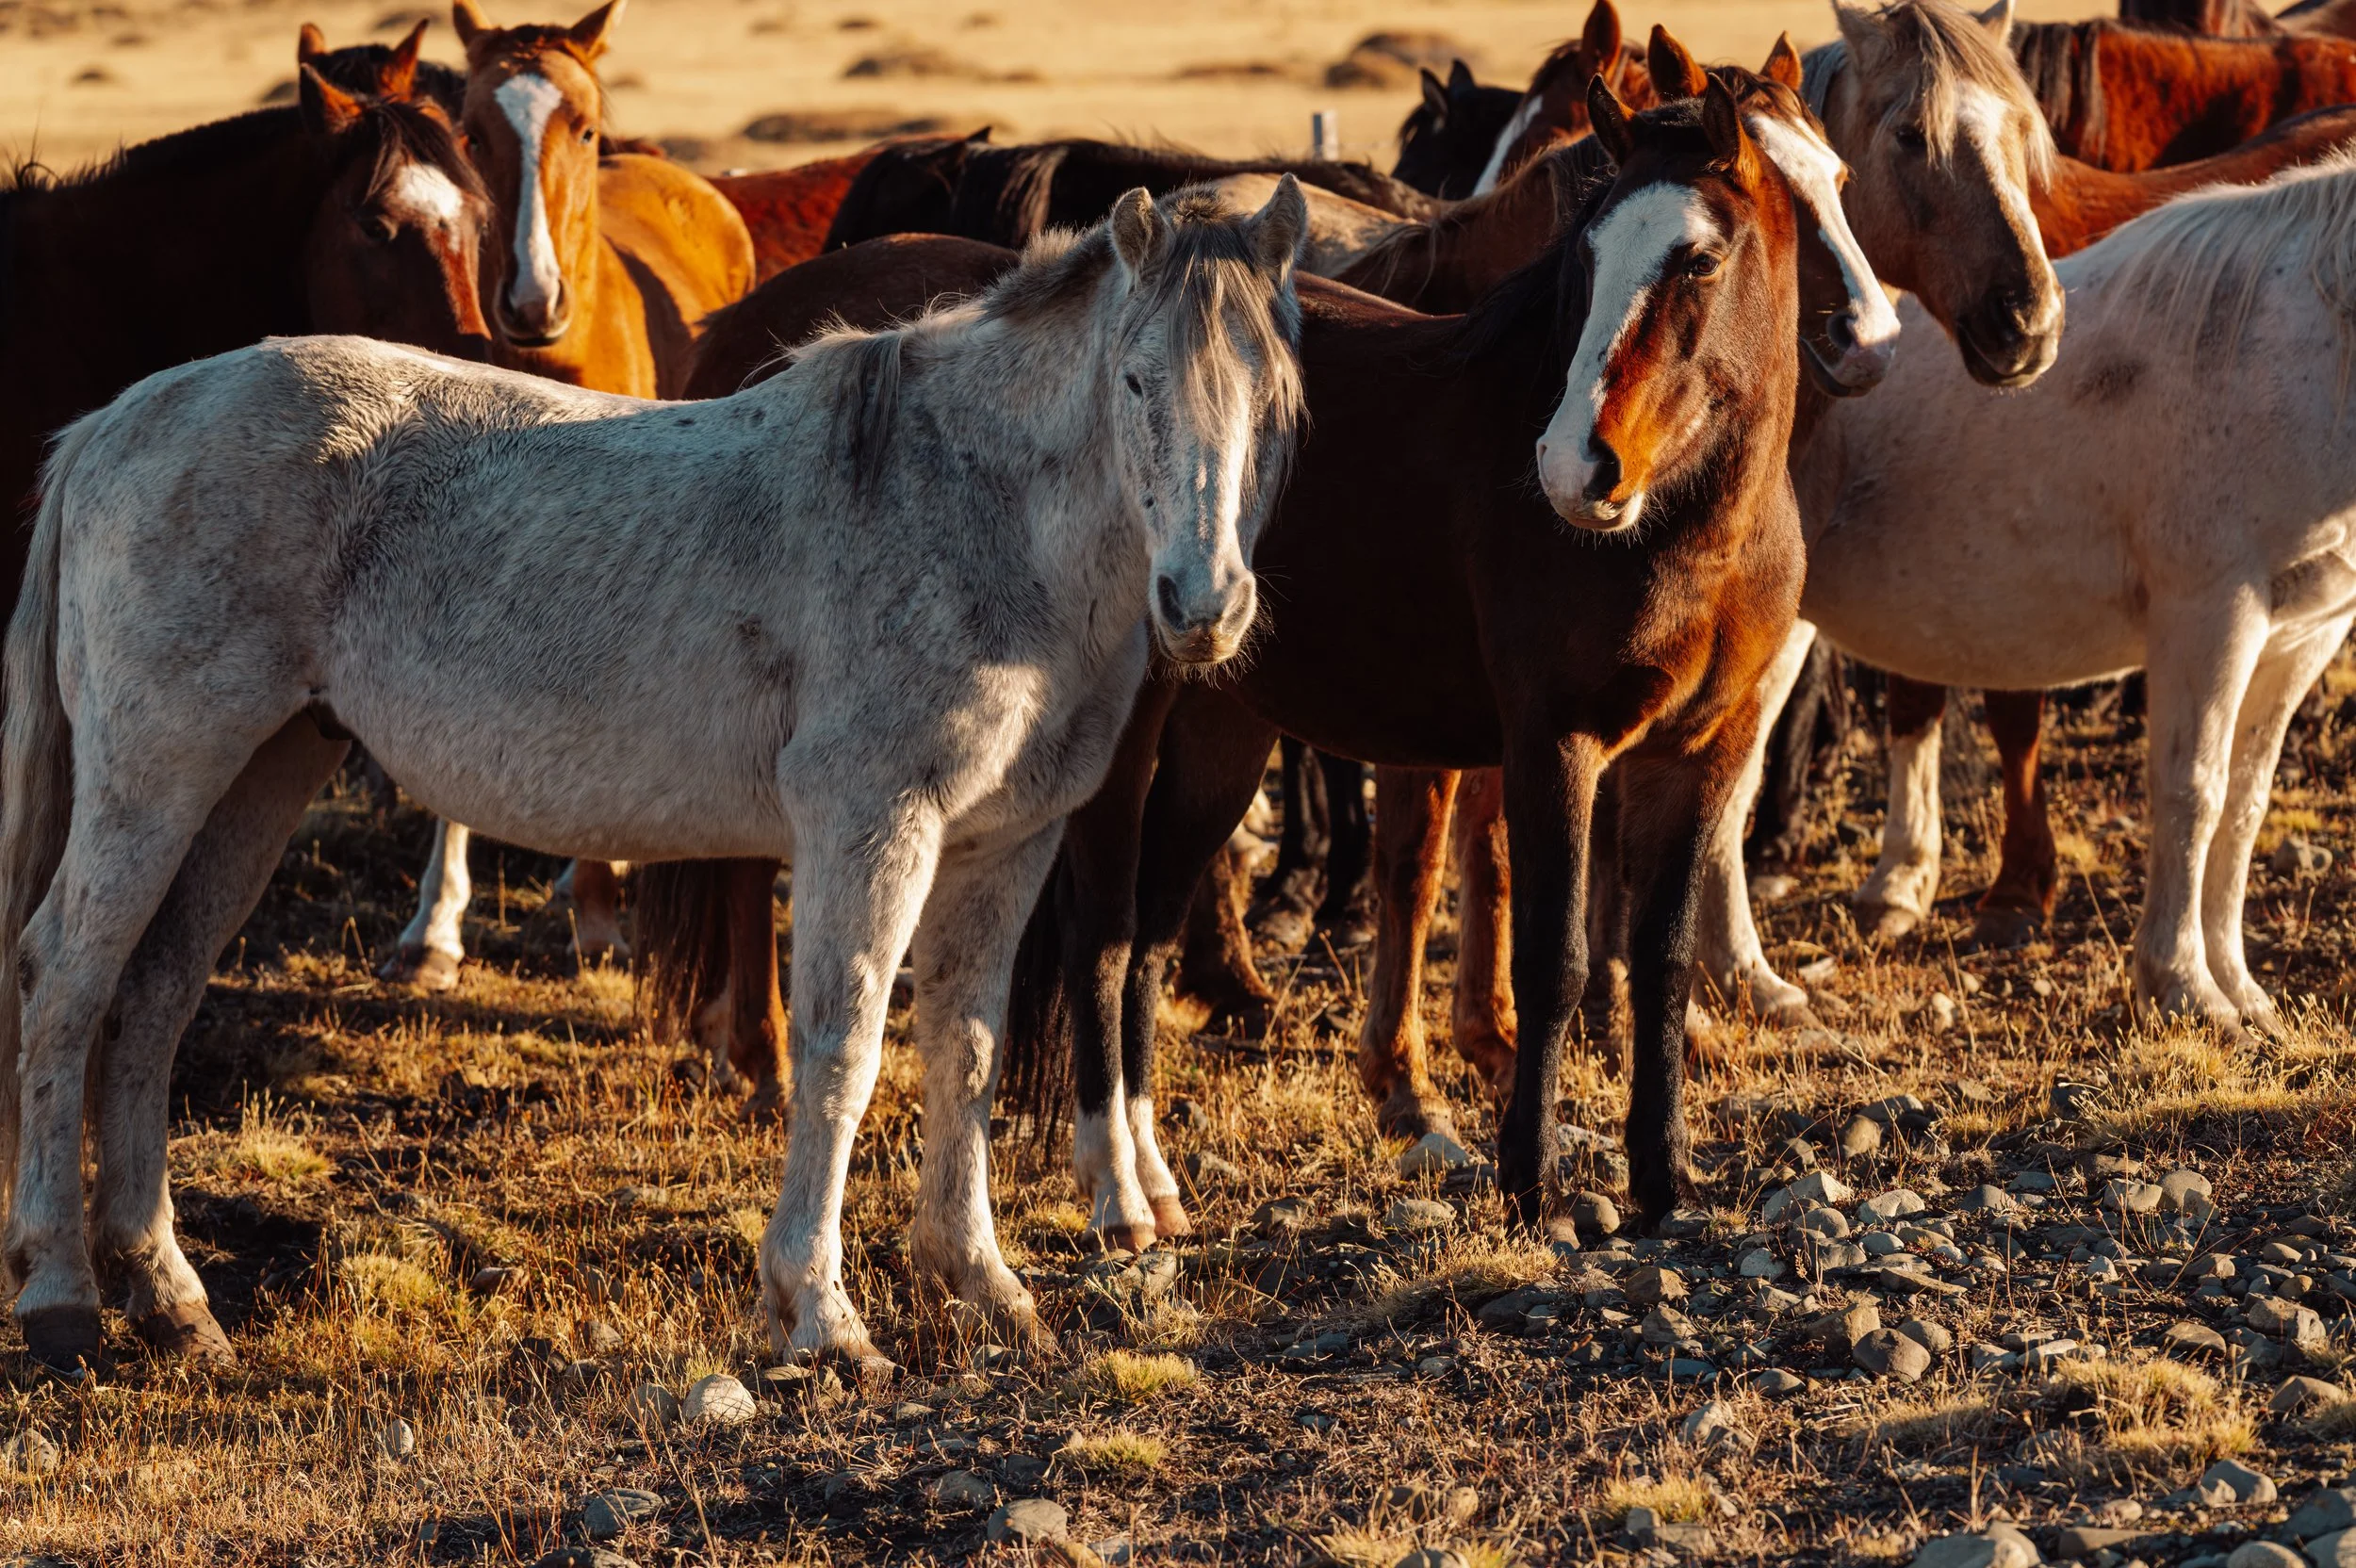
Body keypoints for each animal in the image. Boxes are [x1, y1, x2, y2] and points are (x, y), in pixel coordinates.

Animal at [0, 180, 1310, 1378]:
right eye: (1134, 382)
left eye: (1276, 398)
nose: (1202, 604)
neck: (966, 511)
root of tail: (117, 422)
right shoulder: (872, 824)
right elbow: (844, 1050)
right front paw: (823, 1315)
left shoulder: (1007, 843)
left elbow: (965, 1049)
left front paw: (981, 1282)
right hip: (158, 776)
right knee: (65, 979)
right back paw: (61, 1293)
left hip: (260, 775)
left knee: (155, 992)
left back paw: (171, 1298)